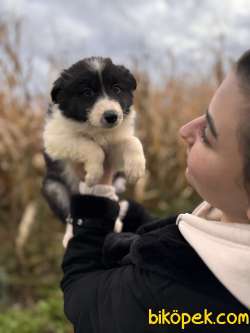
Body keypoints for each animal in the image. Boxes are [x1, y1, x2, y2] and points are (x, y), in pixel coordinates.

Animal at [42, 57, 146, 239]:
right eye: (87, 93)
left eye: (117, 89)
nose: (111, 116)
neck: (96, 130)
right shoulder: (55, 138)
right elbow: (90, 146)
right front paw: (94, 174)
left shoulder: (114, 147)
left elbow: (132, 141)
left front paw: (136, 168)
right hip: (53, 188)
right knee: (68, 212)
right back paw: (69, 235)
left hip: (118, 183)